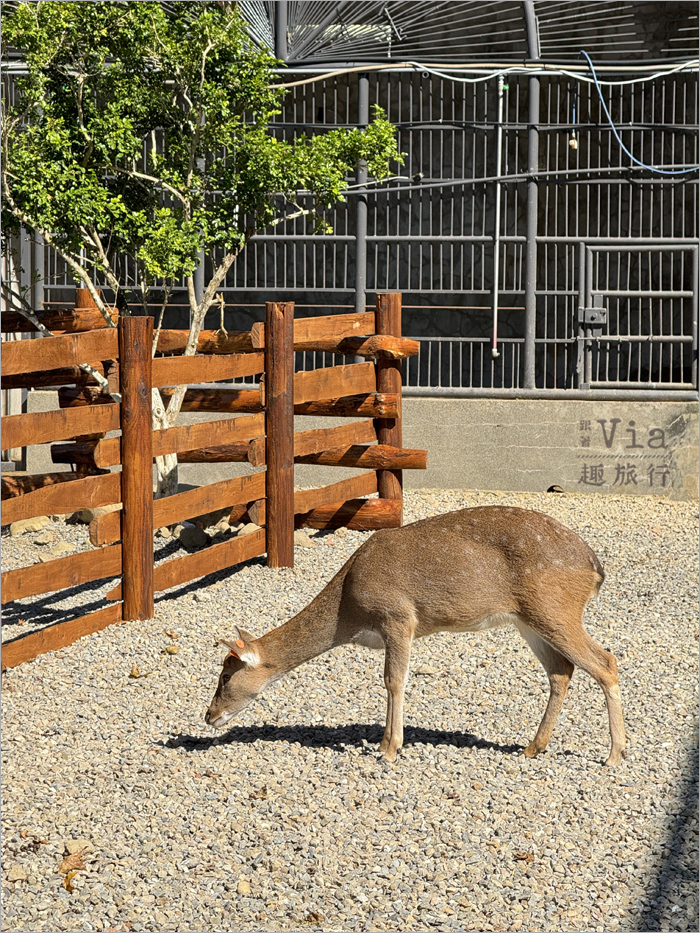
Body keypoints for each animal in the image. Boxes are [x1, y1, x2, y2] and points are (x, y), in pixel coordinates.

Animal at [205, 510, 628, 764]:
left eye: (226, 674)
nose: (208, 715)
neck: (350, 610)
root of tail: (596, 567)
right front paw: (386, 743)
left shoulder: (398, 616)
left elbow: (394, 679)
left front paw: (389, 748)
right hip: (529, 618)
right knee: (562, 670)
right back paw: (532, 747)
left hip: (554, 608)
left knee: (605, 661)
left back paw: (613, 754)